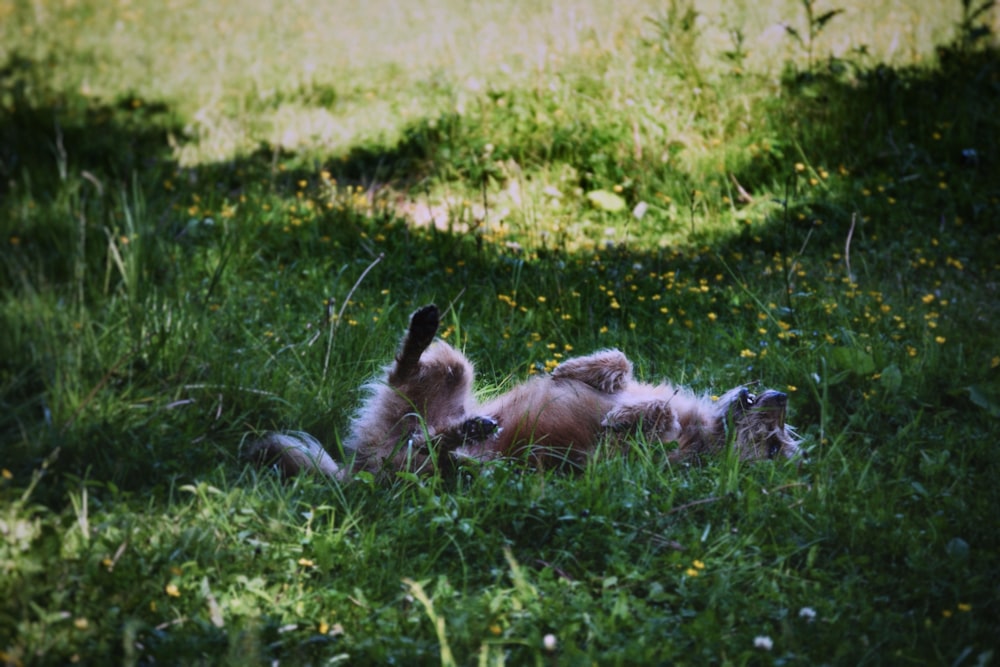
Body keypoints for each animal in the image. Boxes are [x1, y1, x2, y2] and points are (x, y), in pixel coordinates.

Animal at [252, 306, 804, 482]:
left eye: (773, 445)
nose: (780, 395)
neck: (702, 429)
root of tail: (361, 469)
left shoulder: (622, 461)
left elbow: (647, 420)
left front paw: (627, 416)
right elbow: (622, 362)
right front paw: (579, 368)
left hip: (439, 467)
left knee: (430, 455)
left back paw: (462, 439)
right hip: (451, 373)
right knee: (411, 374)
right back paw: (425, 336)